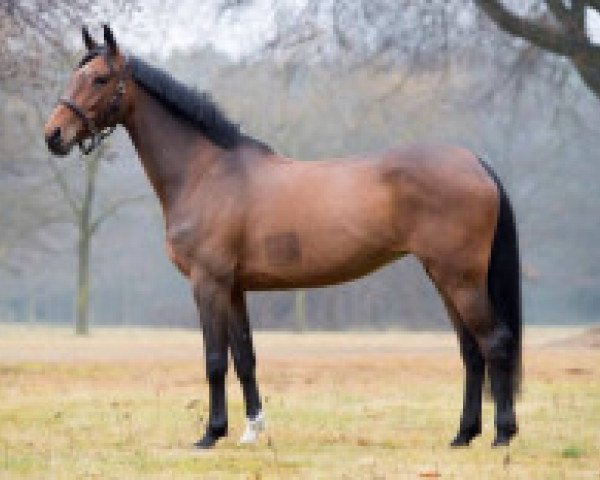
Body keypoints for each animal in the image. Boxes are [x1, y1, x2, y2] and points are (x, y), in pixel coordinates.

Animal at [43, 25, 520, 446]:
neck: (206, 172)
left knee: (493, 342)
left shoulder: (208, 283)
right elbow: (245, 357)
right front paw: (251, 430)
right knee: (470, 351)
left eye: (100, 78)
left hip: (460, 278)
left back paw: (501, 435)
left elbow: (214, 360)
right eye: (74, 75)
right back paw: (463, 435)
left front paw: (211, 434)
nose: (54, 136)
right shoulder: (234, 287)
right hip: (444, 278)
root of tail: (475, 162)